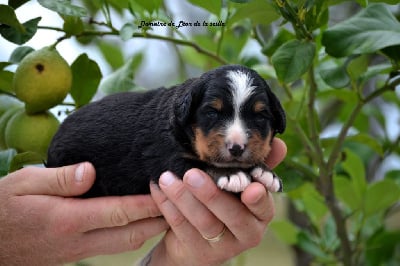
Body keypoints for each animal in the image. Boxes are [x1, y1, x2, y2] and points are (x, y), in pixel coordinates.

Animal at [46, 64, 284, 197]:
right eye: (212, 113)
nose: (236, 148)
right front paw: (232, 174)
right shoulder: (166, 158)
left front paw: (265, 172)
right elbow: (200, 164)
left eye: (260, 116)